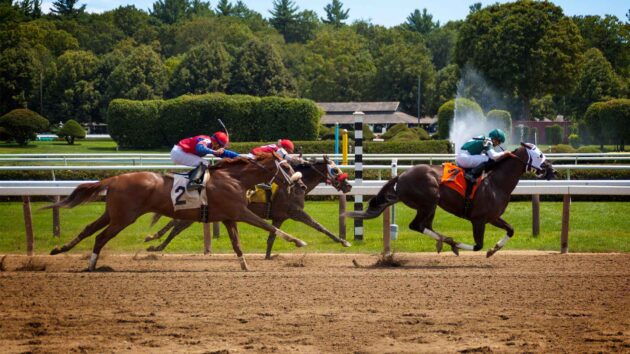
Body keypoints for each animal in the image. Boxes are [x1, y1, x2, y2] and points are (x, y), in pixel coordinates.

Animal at [43, 153, 308, 272]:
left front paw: (244, 266)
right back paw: (91, 265)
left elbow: (237, 244)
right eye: (286, 167)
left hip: (113, 214)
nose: (302, 185)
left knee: (89, 229)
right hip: (124, 218)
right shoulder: (241, 212)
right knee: (100, 237)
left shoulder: (229, 217)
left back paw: (59, 250)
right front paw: (299, 241)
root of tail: (116, 177)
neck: (235, 179)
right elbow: (270, 226)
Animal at [144, 156, 356, 258]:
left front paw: (268, 256)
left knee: (177, 224)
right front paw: (343, 241)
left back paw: (155, 241)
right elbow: (320, 226)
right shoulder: (295, 212)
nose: (348, 186)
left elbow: (272, 236)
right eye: (335, 169)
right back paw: (155, 242)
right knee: (176, 226)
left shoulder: (279, 216)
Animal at [346, 142, 556, 256]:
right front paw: (461, 246)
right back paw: (449, 242)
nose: (552, 170)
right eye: (540, 155)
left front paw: (493, 249)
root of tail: (402, 175)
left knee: (424, 226)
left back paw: (445, 240)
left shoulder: (493, 217)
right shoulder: (478, 219)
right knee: (417, 225)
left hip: (430, 206)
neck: (496, 182)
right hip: (429, 201)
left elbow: (510, 230)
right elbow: (478, 246)